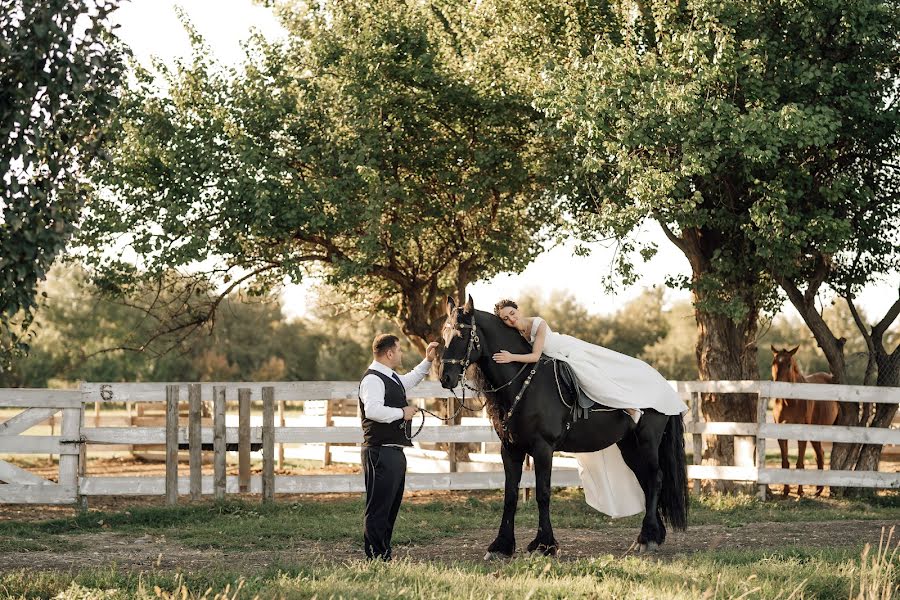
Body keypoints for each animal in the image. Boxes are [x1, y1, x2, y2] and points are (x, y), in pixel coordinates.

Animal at [440, 296, 684, 556]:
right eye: (444, 333)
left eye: (460, 334)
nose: (445, 378)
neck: (524, 383)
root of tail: (664, 383)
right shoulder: (510, 449)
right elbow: (510, 495)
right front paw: (501, 545)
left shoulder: (543, 448)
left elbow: (543, 494)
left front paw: (544, 544)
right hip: (629, 446)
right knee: (646, 480)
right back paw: (653, 535)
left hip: (647, 441)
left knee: (655, 478)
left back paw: (646, 538)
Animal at [768, 346, 840, 496]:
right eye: (774, 363)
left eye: (789, 364)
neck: (790, 402)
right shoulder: (781, 434)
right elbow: (785, 463)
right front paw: (786, 491)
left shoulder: (802, 434)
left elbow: (800, 463)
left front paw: (800, 492)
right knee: (820, 454)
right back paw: (818, 490)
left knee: (820, 454)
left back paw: (819, 489)